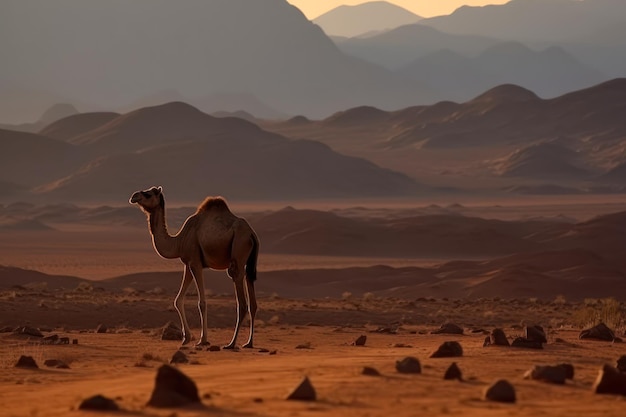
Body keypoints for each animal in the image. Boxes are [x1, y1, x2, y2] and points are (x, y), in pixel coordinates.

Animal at [129, 186, 258, 348]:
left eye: (148, 194)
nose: (134, 196)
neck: (178, 241)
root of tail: (251, 234)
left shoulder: (195, 262)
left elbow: (201, 303)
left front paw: (203, 340)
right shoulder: (188, 264)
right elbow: (178, 300)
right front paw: (186, 338)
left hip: (238, 253)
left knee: (241, 301)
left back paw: (231, 343)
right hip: (248, 263)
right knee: (252, 300)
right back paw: (248, 343)